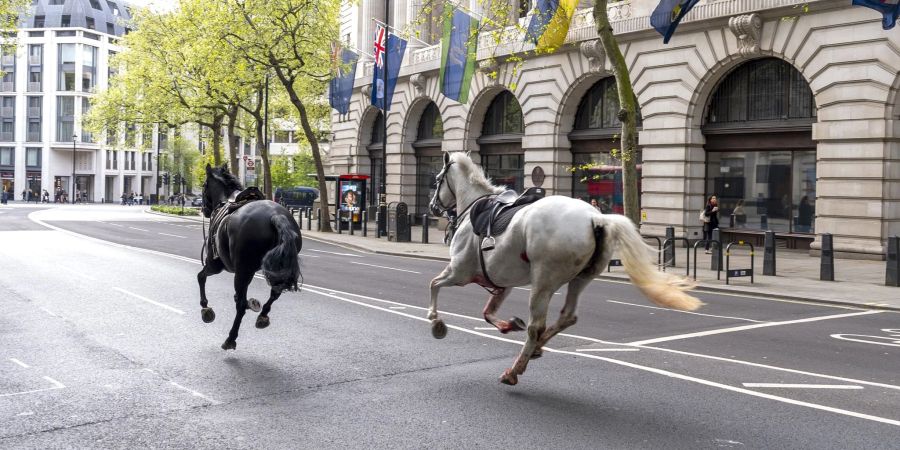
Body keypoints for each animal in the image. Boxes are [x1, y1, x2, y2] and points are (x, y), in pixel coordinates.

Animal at [198, 163, 302, 350]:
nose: (205, 210)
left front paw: (205, 308)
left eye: (204, 186)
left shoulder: (215, 265)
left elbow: (201, 277)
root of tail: (276, 216)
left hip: (241, 271)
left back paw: (230, 338)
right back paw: (262, 316)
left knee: (240, 306)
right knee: (275, 292)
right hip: (275, 268)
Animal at [428, 153, 704, 384]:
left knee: (536, 326)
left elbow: (434, 284)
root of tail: (597, 217)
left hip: (543, 281)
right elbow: (487, 312)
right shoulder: (502, 282)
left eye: (437, 180)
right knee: (567, 316)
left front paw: (435, 321)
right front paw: (508, 325)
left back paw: (515, 369)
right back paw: (537, 348)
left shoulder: (460, 272)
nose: (432, 207)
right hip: (581, 278)